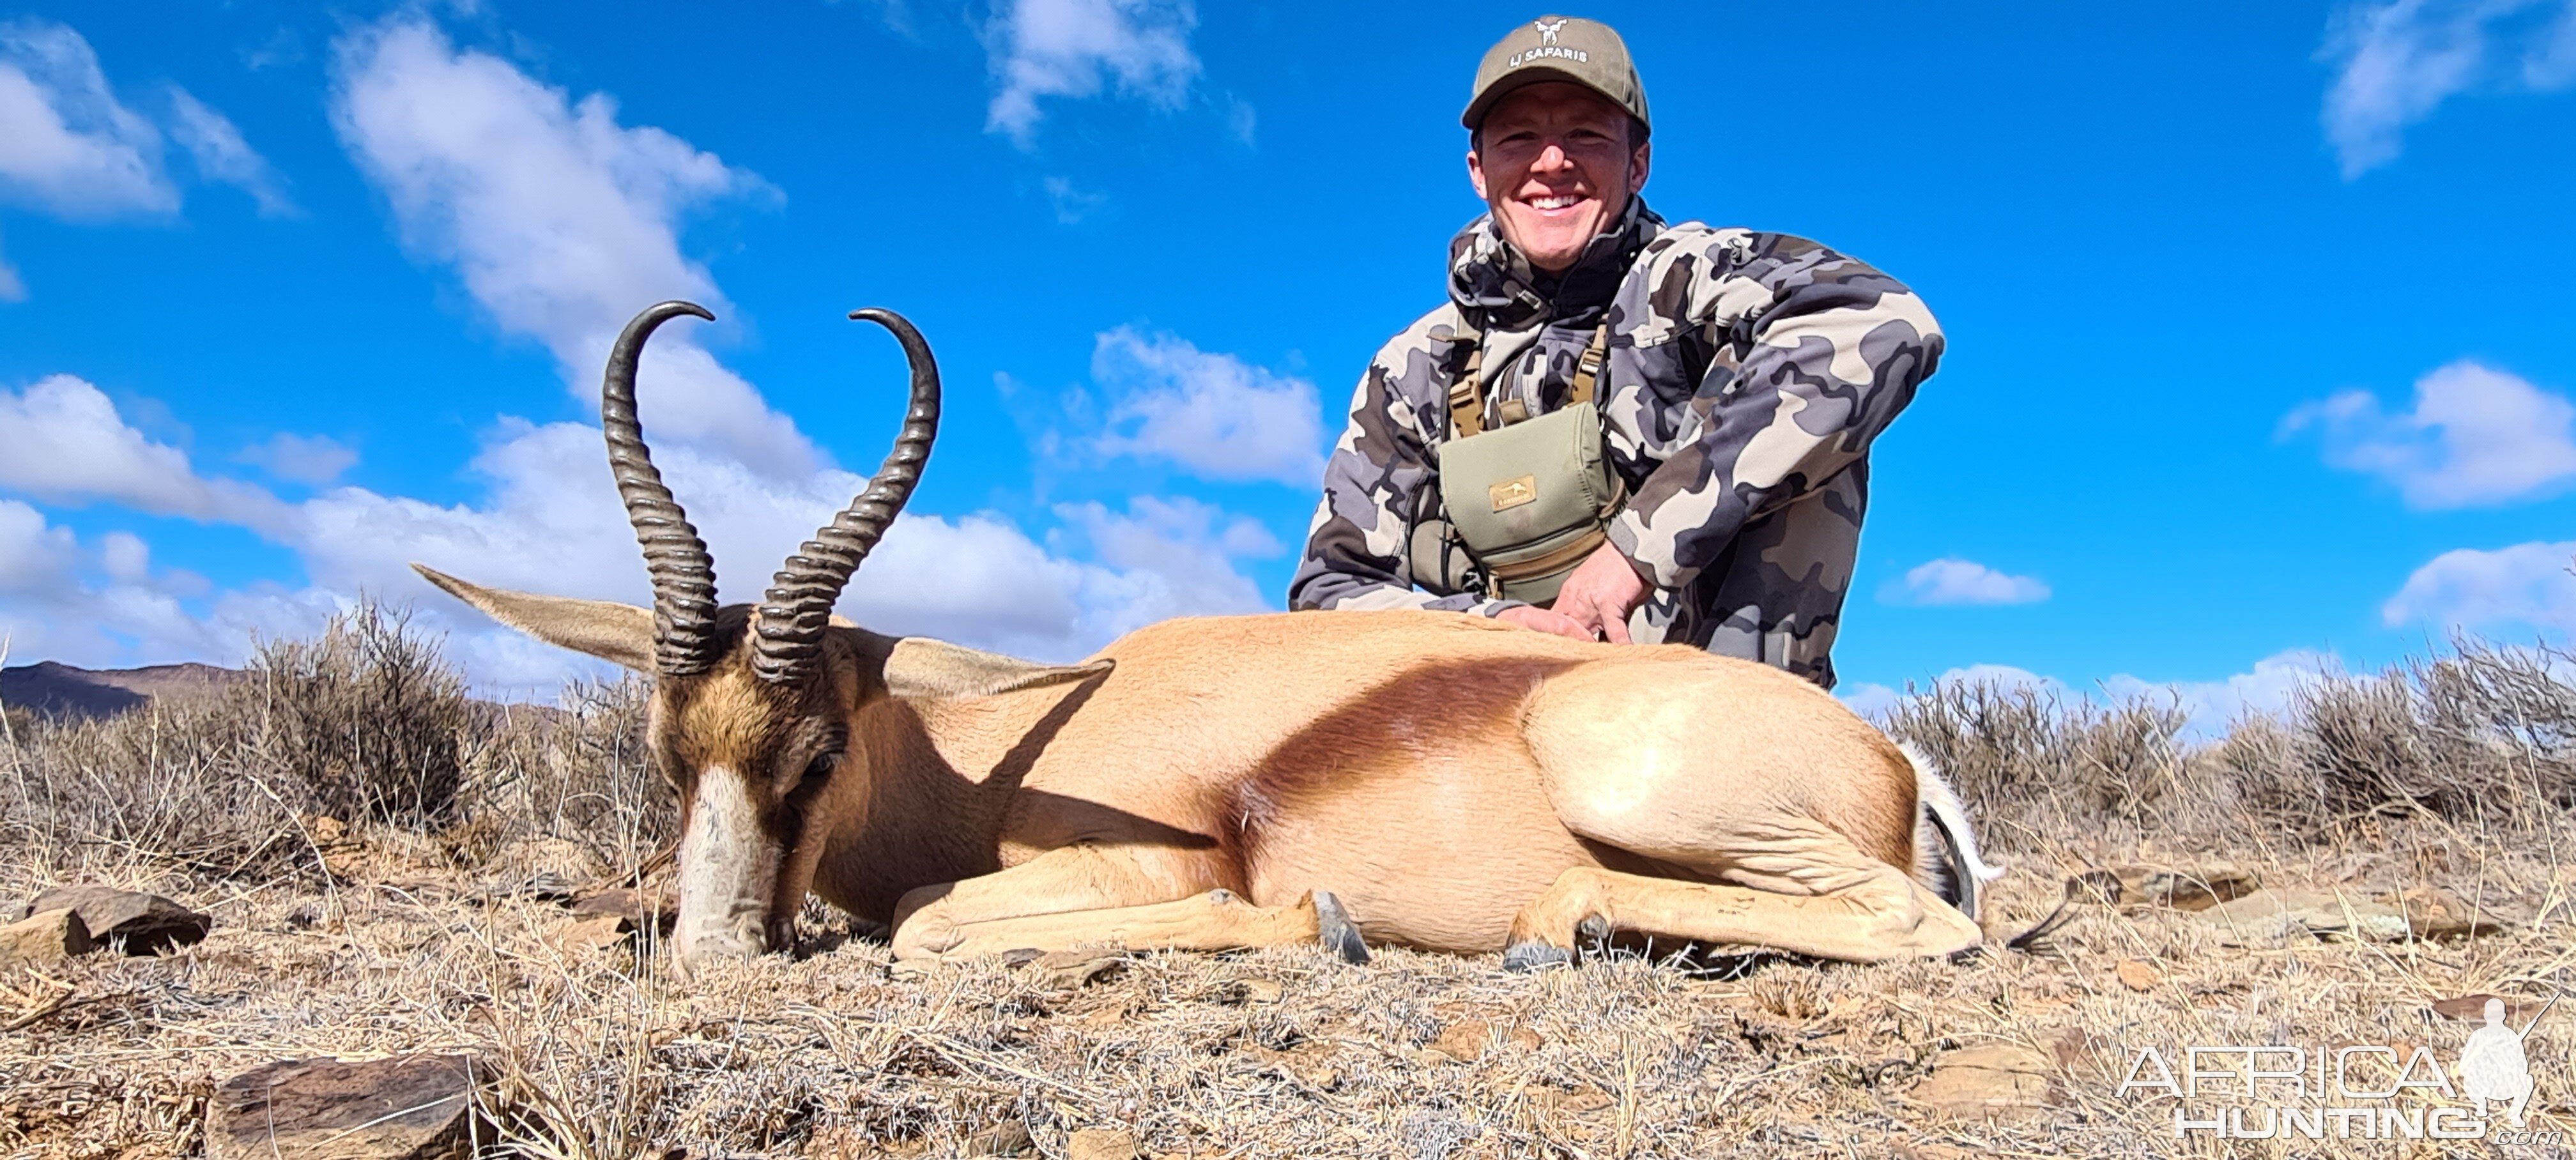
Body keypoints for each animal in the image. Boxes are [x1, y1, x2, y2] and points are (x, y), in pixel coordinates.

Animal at [422, 301, 1998, 979]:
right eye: (662, 754)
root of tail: (1895, 760)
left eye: (817, 750)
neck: (1000, 753)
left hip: (1632, 780)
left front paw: (1317, 921)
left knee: (1922, 923)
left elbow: (928, 924)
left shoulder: (1148, 865)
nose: (714, 953)